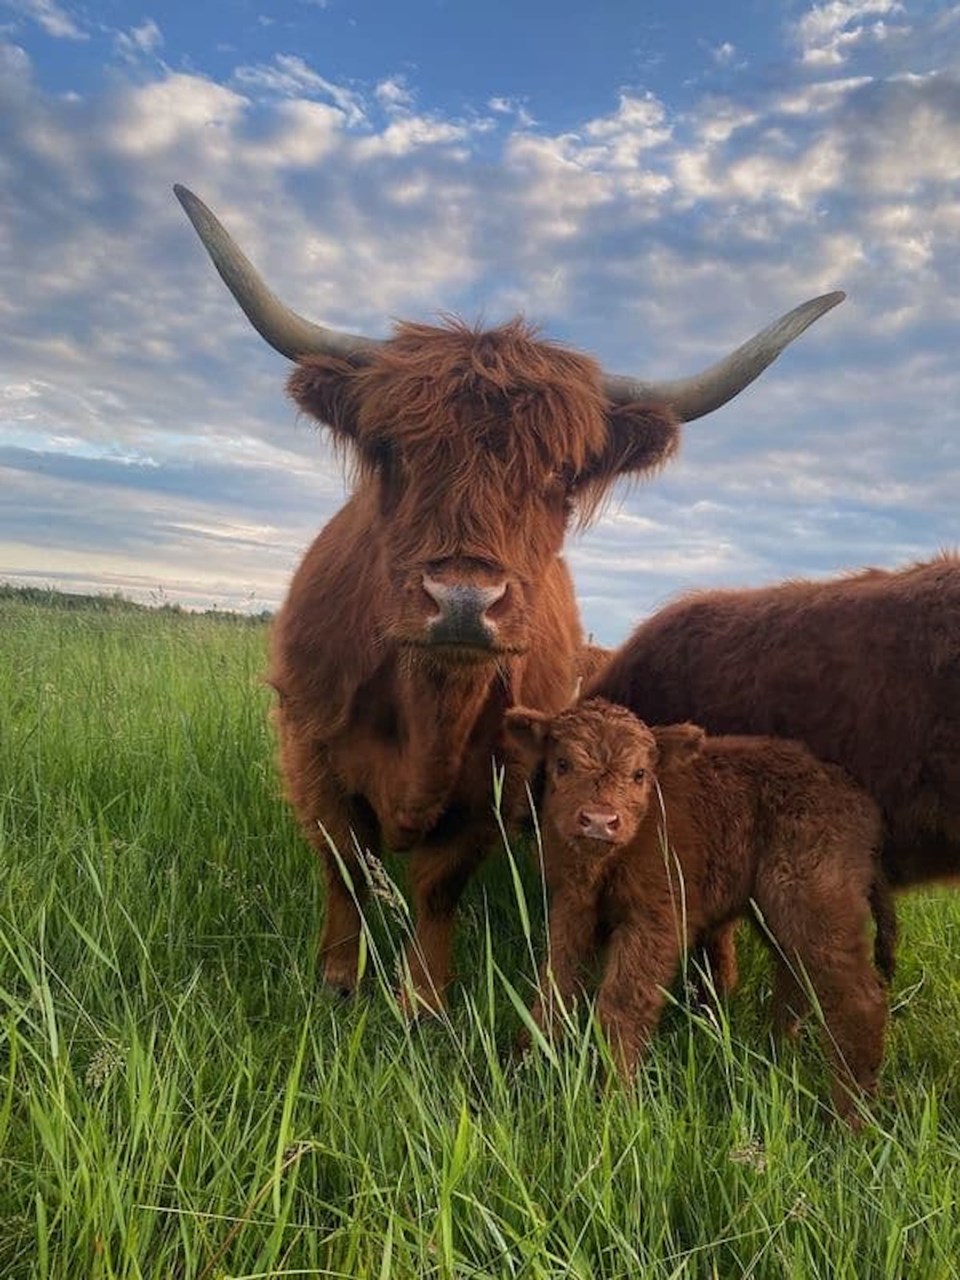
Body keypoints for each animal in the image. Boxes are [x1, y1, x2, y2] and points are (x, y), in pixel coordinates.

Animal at [176, 185, 844, 1013]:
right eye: (392, 453)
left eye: (560, 476)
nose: (464, 599)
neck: (425, 713)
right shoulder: (311, 748)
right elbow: (347, 869)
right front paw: (337, 976)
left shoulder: (498, 780)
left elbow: (437, 884)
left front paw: (423, 998)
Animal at [506, 696, 890, 1126]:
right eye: (562, 763)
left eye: (640, 773)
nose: (600, 822)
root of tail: (854, 796)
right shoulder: (572, 907)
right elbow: (556, 983)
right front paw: (525, 1063)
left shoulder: (657, 918)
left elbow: (622, 1002)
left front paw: (617, 1098)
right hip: (779, 909)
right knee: (796, 974)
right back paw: (776, 1054)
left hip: (816, 900)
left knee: (857, 998)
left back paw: (848, 1119)